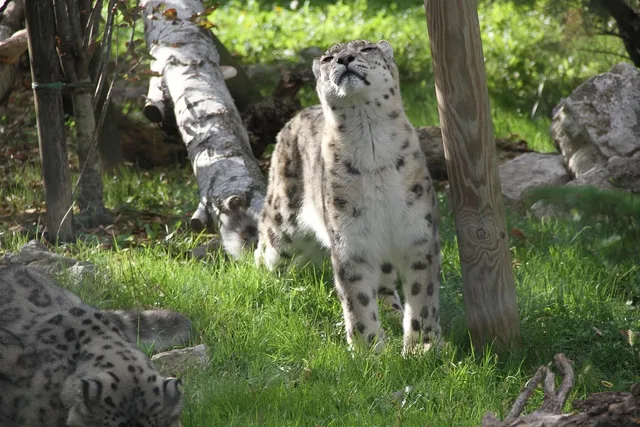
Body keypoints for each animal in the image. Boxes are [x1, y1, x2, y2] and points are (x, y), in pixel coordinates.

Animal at [253, 39, 442, 354]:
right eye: (328, 58)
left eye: (366, 49)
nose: (344, 59)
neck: (371, 145)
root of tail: (292, 118)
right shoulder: (351, 242)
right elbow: (358, 302)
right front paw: (369, 352)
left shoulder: (418, 236)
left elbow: (422, 298)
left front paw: (421, 348)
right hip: (282, 220)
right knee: (265, 248)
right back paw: (268, 285)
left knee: (385, 282)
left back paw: (393, 312)